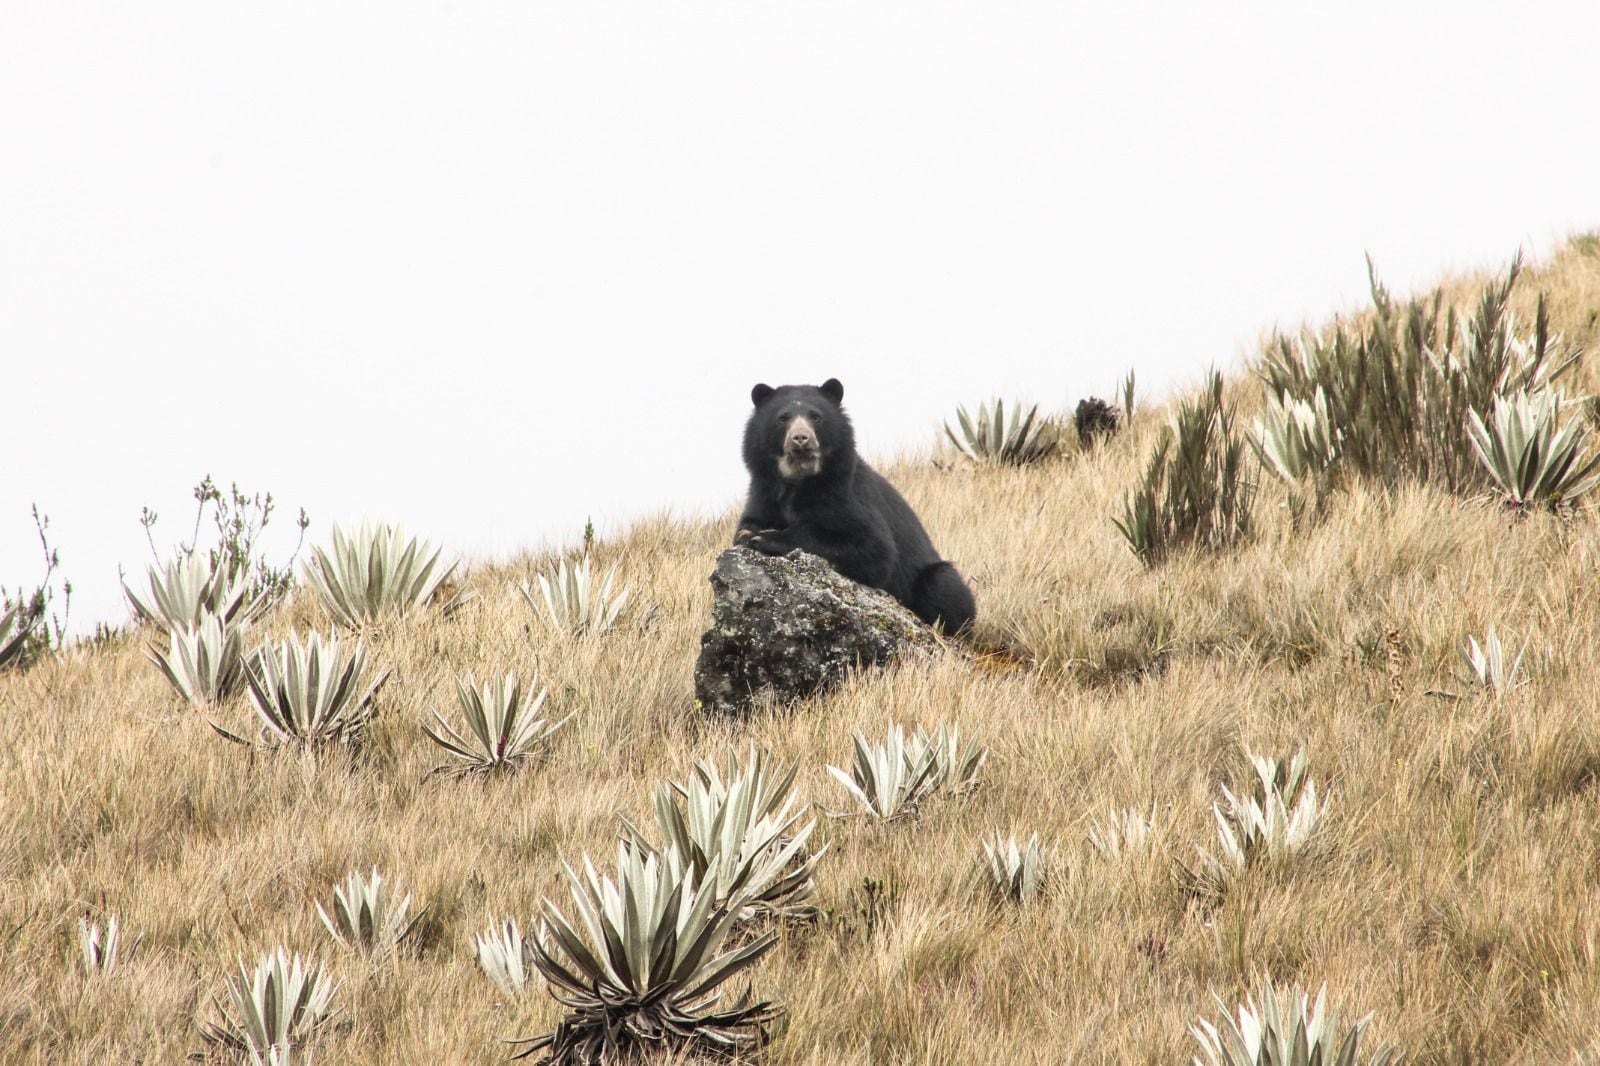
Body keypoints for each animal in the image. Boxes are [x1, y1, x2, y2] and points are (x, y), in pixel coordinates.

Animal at [735, 377, 977, 634]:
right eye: (783, 418)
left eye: (816, 417)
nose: (800, 438)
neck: (798, 483)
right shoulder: (763, 492)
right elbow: (749, 522)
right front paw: (748, 533)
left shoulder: (846, 496)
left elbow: (874, 548)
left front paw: (765, 537)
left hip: (937, 579)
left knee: (941, 586)